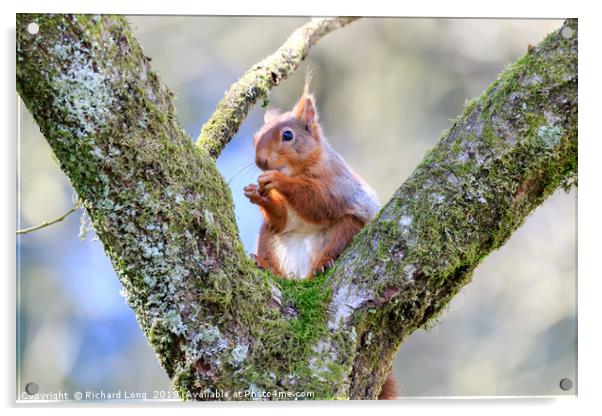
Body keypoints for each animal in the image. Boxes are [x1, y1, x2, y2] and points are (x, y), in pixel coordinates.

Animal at [241, 76, 396, 398]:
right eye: (256, 136)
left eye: (287, 135)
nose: (261, 162)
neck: (297, 168)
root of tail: (300, 273)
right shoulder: (282, 218)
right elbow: (281, 218)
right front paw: (257, 194)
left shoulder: (335, 184)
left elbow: (317, 200)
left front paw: (277, 181)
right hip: (269, 240)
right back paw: (265, 265)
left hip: (345, 229)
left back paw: (323, 263)